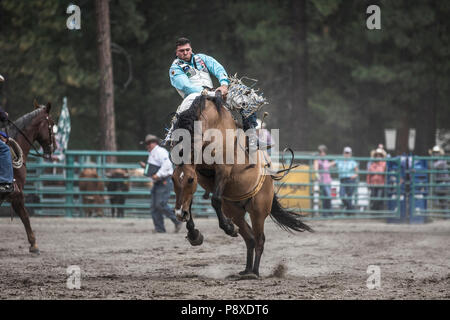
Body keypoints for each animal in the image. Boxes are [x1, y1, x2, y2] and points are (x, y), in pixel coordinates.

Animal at [171, 93, 312, 278]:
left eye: (189, 180)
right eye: (172, 179)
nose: (179, 214)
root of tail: (269, 181)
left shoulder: (223, 170)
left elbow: (215, 200)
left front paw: (228, 228)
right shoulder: (201, 175)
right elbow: (190, 202)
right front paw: (194, 234)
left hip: (258, 210)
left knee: (259, 239)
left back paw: (254, 272)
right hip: (235, 211)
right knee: (250, 238)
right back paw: (246, 270)